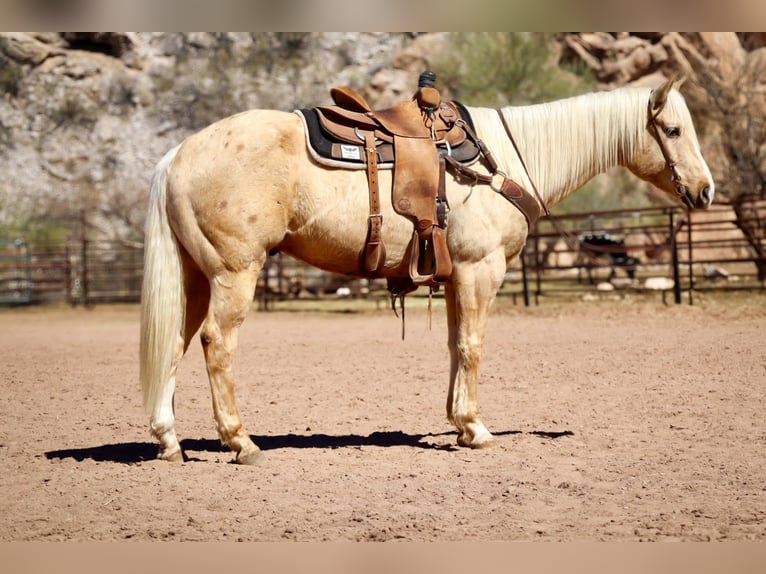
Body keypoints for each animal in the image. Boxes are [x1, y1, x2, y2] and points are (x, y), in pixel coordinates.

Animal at [139, 77, 714, 464]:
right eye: (673, 129)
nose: (706, 191)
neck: (502, 161)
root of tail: (177, 155)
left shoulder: (458, 277)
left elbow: (455, 345)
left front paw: (459, 423)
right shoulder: (481, 271)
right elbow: (472, 346)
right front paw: (477, 429)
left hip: (195, 278)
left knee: (176, 343)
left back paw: (169, 440)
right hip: (234, 274)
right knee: (216, 343)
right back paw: (241, 441)